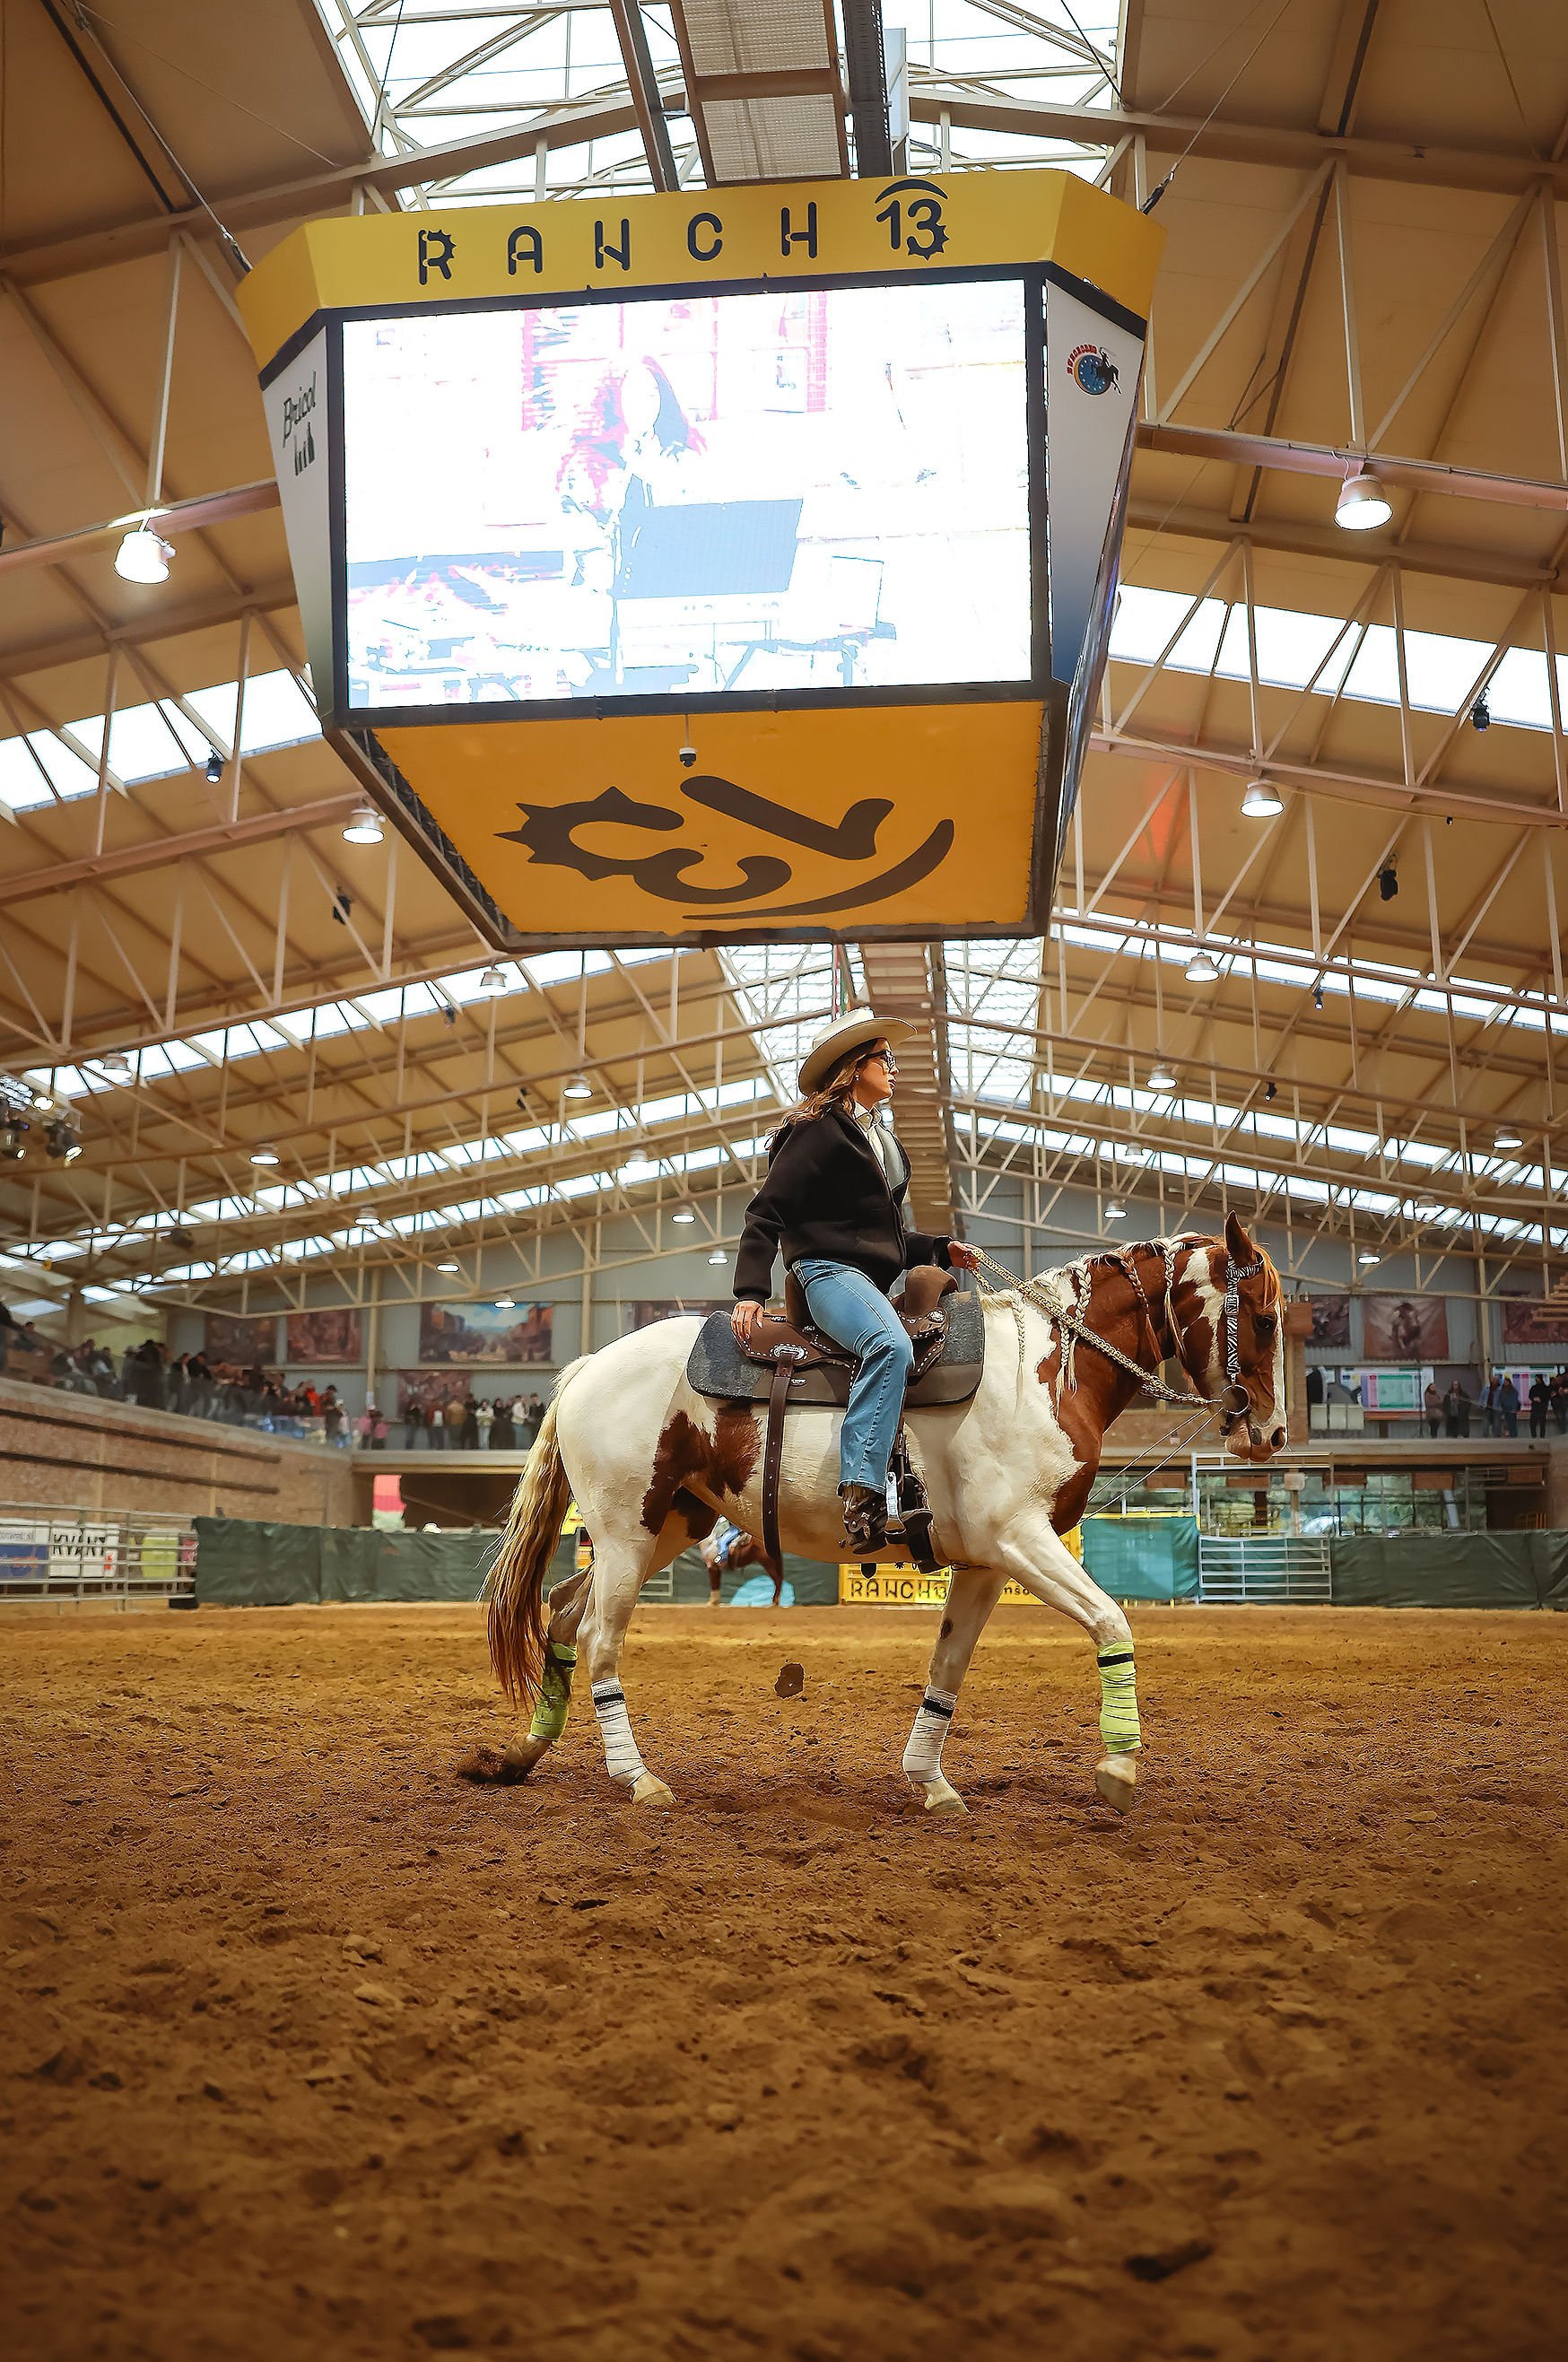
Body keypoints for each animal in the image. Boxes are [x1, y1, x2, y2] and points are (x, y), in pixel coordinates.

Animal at [474, 1215, 1287, 1816]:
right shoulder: (1020, 1539)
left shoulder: (986, 1561)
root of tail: (591, 1366)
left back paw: (521, 1752)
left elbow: (947, 1667)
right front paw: (1119, 1765)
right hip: (626, 1533)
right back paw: (637, 1778)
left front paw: (932, 1782)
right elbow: (1112, 1620)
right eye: (1266, 1319)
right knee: (600, 1639)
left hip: (661, 1528)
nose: (1271, 1435)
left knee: (562, 1612)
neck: (1046, 1371)